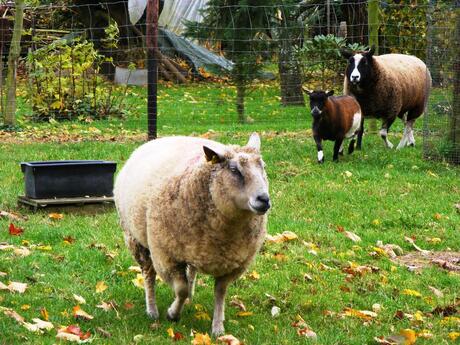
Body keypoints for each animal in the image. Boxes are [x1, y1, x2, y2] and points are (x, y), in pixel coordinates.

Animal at [114, 132, 270, 334]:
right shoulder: (166, 256)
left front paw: (218, 327)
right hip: (136, 239)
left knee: (191, 271)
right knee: (148, 275)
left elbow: (220, 292)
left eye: (263, 167)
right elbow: (180, 289)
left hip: (195, 247)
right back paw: (152, 310)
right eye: (234, 169)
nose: (264, 199)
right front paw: (172, 314)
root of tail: (159, 139)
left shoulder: (232, 263)